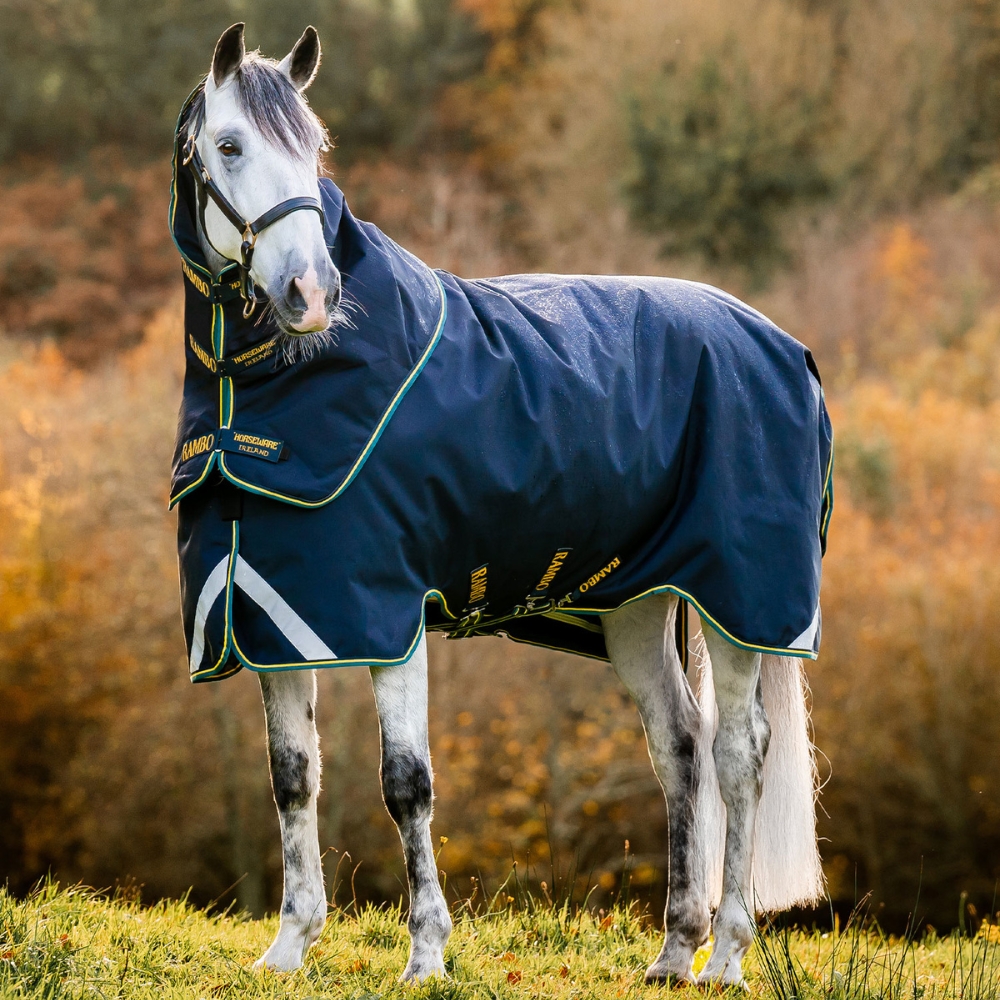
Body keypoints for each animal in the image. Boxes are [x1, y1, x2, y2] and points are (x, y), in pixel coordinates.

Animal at [170, 21, 828, 984]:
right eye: (229, 146)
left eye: (314, 148)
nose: (311, 294)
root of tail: (784, 347)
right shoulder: (281, 615)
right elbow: (293, 776)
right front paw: (289, 948)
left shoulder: (389, 617)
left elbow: (406, 784)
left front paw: (425, 955)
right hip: (637, 608)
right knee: (680, 750)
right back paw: (675, 950)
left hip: (740, 602)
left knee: (739, 755)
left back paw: (729, 955)